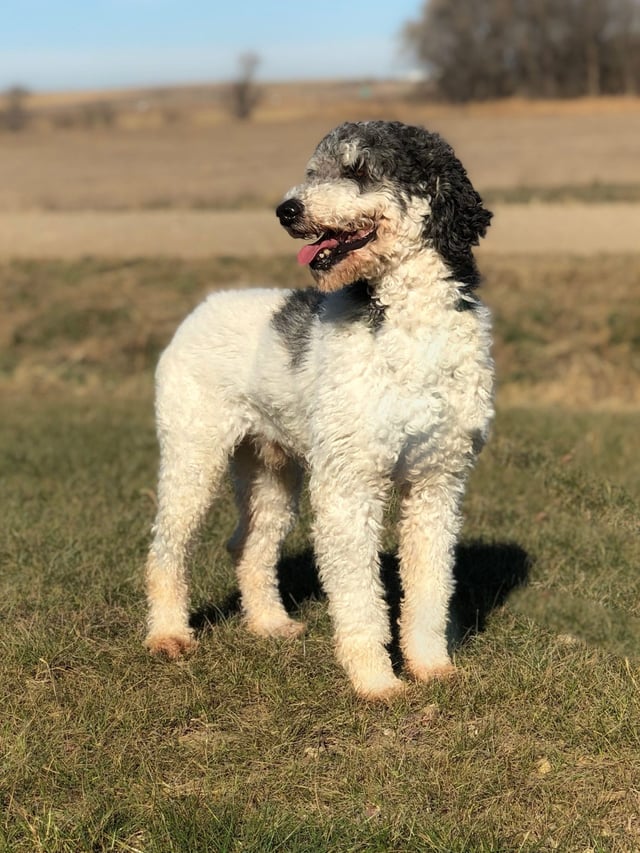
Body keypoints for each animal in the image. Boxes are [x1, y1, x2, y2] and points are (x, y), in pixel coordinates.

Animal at [146, 123, 496, 704]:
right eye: (313, 171)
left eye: (356, 170)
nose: (286, 209)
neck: (407, 322)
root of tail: (205, 305)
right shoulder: (350, 487)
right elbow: (360, 597)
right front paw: (377, 682)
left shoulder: (437, 484)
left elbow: (429, 586)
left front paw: (431, 667)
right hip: (194, 454)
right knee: (167, 548)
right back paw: (167, 635)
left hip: (271, 470)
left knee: (248, 546)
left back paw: (269, 624)